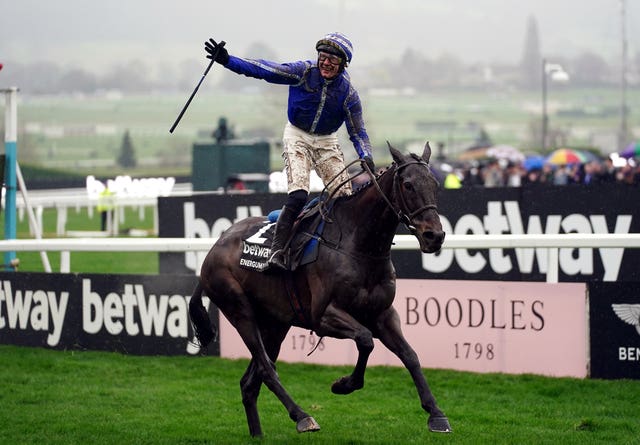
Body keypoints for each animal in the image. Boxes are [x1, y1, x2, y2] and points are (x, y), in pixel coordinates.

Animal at [190, 140, 450, 436]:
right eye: (407, 184)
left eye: (435, 183)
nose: (434, 236)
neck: (358, 246)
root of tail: (213, 250)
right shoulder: (324, 316)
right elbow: (365, 340)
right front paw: (344, 384)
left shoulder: (383, 314)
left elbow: (410, 355)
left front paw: (436, 413)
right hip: (240, 311)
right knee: (267, 369)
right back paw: (302, 416)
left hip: (275, 324)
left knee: (250, 382)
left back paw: (258, 434)